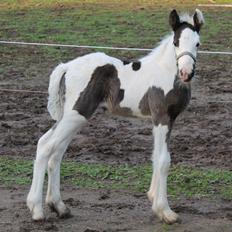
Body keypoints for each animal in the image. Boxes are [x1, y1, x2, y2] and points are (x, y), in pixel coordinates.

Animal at [27, 9, 204, 225]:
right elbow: (163, 160)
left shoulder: (166, 120)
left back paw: (59, 206)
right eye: (176, 42)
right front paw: (165, 211)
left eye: (197, 43)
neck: (165, 72)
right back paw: (37, 210)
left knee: (54, 149)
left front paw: (153, 199)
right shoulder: (161, 117)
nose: (186, 73)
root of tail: (66, 66)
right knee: (46, 146)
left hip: (71, 116)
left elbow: (155, 156)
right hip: (77, 114)